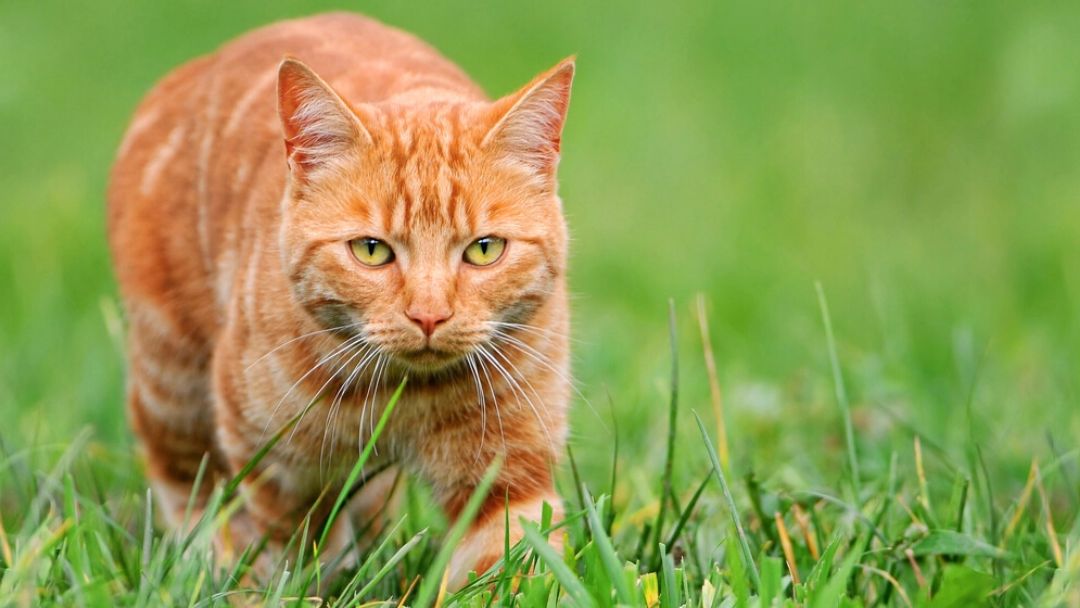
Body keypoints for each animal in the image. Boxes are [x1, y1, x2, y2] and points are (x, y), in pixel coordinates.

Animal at [108, 11, 574, 587]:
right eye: (372, 251)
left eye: (484, 250)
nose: (429, 315)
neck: (406, 395)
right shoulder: (280, 469)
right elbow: (296, 554)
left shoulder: (509, 474)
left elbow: (510, 566)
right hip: (171, 382)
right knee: (186, 485)